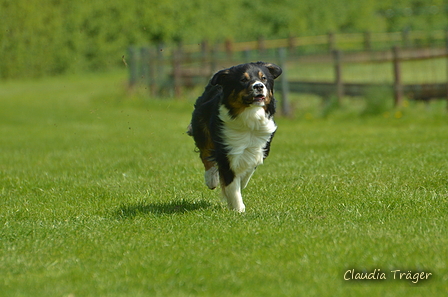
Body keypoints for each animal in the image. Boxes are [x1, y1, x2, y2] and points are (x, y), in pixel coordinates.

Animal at [187, 61, 282, 212]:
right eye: (243, 79)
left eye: (263, 78)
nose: (259, 86)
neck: (250, 116)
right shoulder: (227, 149)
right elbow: (231, 183)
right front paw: (239, 209)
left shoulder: (260, 146)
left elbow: (248, 169)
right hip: (202, 127)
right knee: (205, 153)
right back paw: (211, 179)